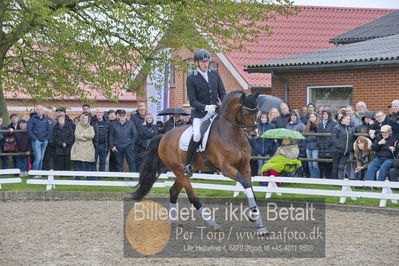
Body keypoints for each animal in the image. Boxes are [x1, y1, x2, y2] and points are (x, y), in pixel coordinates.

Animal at [133, 90, 268, 234]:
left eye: (258, 111)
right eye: (246, 112)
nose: (254, 134)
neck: (233, 135)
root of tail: (164, 136)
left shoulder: (245, 167)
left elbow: (249, 187)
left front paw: (259, 224)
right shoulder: (226, 168)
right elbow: (245, 183)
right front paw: (253, 216)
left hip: (183, 173)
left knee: (173, 191)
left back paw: (174, 222)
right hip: (178, 170)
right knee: (192, 197)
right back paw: (213, 224)